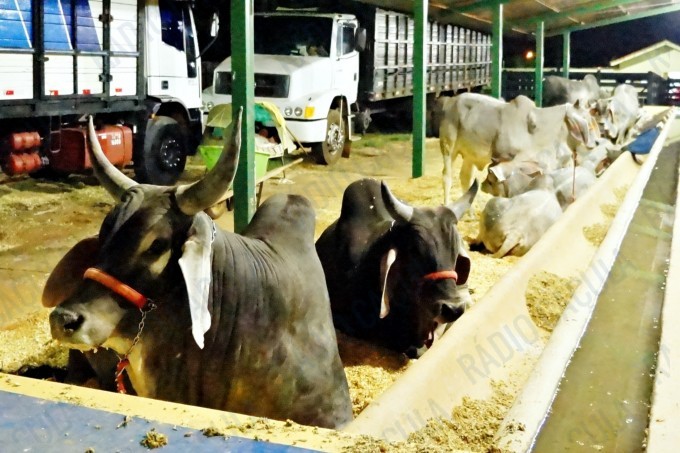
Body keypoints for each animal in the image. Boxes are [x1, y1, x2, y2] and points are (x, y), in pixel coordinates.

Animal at [438, 93, 599, 204]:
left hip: (470, 155)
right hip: (448, 147)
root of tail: (451, 101)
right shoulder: (503, 160)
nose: (597, 142)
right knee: (447, 176)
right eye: (587, 121)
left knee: (465, 177)